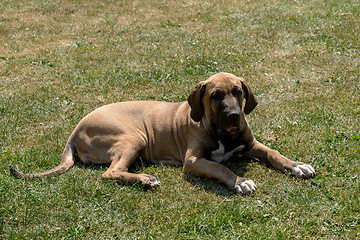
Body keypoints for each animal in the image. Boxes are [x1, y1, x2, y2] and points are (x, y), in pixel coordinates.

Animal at [9, 72, 316, 194]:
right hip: (134, 137)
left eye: (238, 91)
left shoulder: (250, 143)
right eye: (215, 95)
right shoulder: (193, 161)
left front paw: (297, 166)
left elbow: (274, 153)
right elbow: (222, 168)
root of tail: (75, 129)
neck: (222, 134)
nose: (233, 116)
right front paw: (239, 181)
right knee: (111, 172)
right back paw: (146, 179)